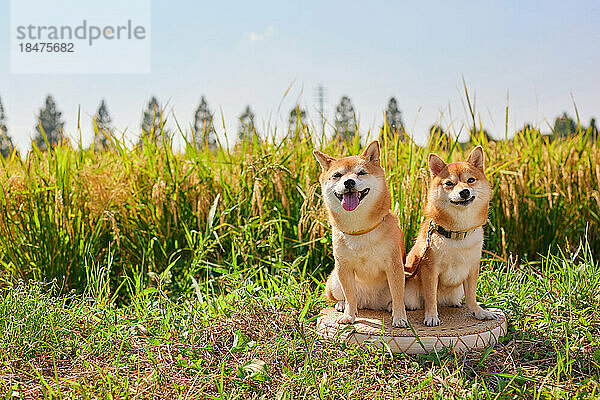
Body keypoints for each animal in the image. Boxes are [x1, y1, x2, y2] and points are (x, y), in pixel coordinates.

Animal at [314, 141, 408, 328]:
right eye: (337, 175)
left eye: (361, 172)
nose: (349, 182)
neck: (360, 229)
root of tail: (369, 303)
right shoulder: (343, 266)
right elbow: (350, 295)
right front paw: (349, 316)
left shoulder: (394, 265)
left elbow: (398, 294)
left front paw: (400, 317)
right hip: (335, 280)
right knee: (345, 297)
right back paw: (341, 304)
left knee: (395, 296)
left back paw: (390, 306)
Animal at [406, 145, 500, 326]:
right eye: (449, 183)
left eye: (470, 180)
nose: (464, 192)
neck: (458, 233)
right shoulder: (430, 269)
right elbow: (430, 297)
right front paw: (431, 316)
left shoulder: (473, 267)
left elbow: (472, 296)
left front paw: (478, 312)